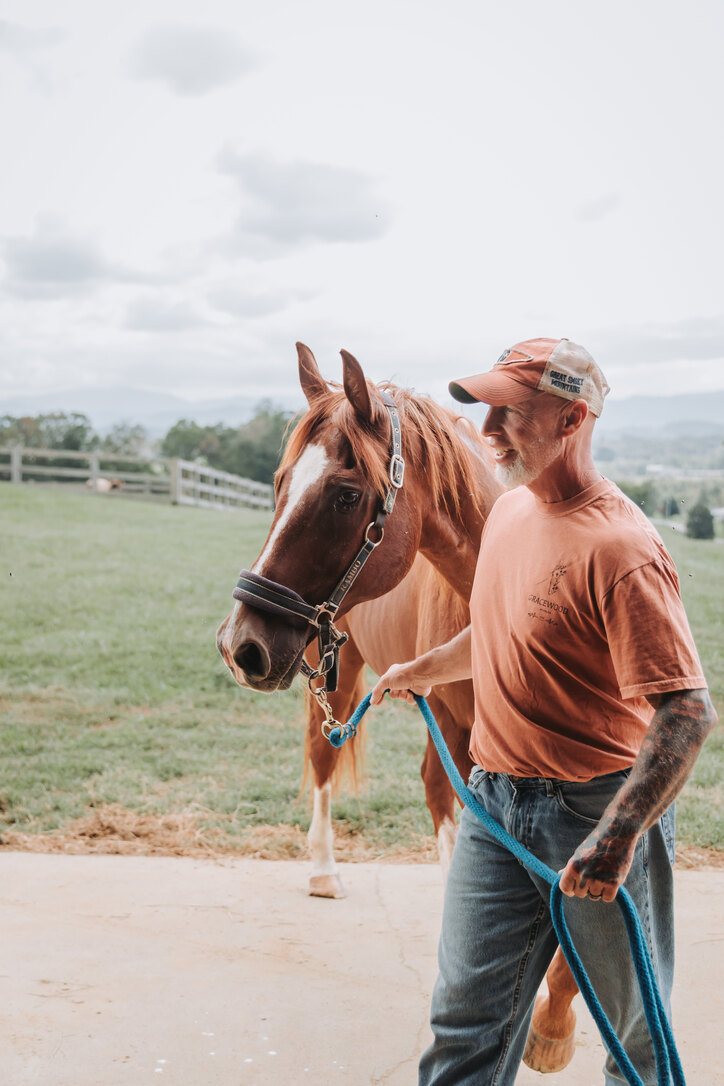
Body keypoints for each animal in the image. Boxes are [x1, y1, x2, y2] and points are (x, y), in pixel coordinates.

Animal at [217, 342, 579, 1073]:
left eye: (345, 494)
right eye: (278, 482)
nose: (240, 645)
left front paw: (554, 1021)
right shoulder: (465, 734)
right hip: (343, 675)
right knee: (328, 765)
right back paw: (324, 868)